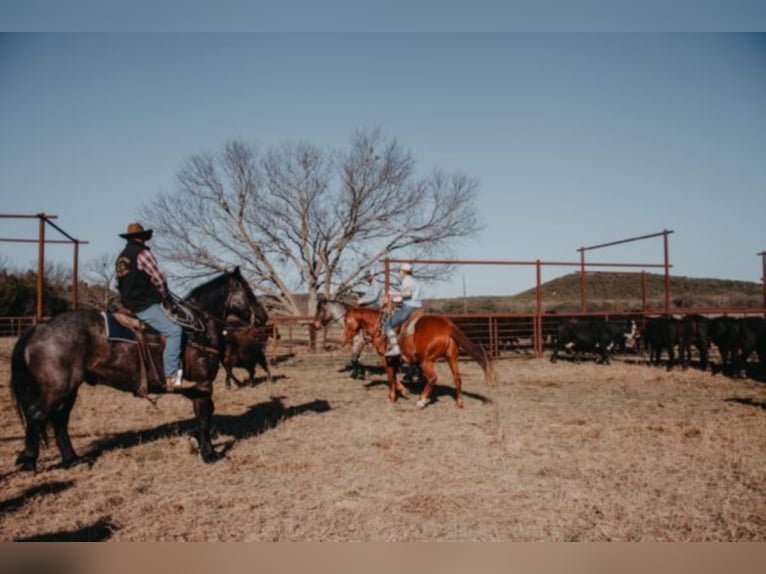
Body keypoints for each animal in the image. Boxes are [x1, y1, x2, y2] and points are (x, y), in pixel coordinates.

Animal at [7, 268, 268, 470]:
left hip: (69, 390)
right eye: (248, 292)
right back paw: (28, 461)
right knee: (37, 416)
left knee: (59, 421)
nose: (263, 317)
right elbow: (204, 419)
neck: (198, 328)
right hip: (57, 389)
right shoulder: (204, 385)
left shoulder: (198, 388)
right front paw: (210, 454)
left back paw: (72, 459)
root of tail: (39, 328)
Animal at [344, 306, 498, 410]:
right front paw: (404, 392)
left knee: (433, 378)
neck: (380, 329)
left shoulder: (386, 359)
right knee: (457, 378)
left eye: (346, 321)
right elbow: (394, 377)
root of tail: (447, 325)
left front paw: (392, 397)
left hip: (426, 361)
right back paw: (459, 403)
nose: (344, 338)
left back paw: (421, 401)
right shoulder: (396, 361)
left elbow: (390, 378)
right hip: (451, 357)